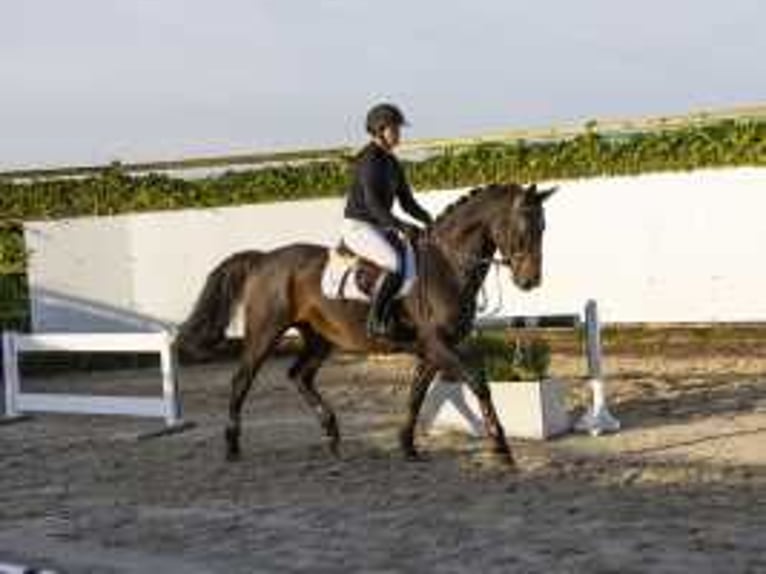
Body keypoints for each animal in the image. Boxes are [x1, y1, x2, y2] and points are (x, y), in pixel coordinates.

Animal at [180, 182, 560, 470]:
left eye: (543, 228)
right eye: (524, 227)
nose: (530, 281)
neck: (447, 266)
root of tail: (263, 259)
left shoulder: (432, 351)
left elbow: (416, 396)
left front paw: (407, 446)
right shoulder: (438, 345)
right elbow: (478, 384)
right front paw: (501, 448)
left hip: (320, 338)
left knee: (299, 376)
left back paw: (332, 434)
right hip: (265, 332)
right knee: (242, 380)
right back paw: (232, 446)